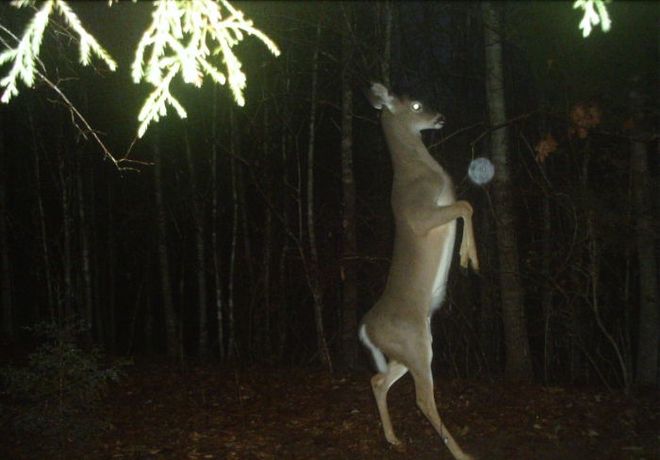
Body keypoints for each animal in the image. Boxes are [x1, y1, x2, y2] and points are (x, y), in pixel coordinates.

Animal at [360, 83, 480, 460]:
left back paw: (392, 438)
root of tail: (366, 329)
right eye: (415, 105)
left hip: (407, 349)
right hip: (414, 343)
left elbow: (466, 204)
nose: (440, 116)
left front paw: (467, 257)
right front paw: (469, 259)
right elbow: (466, 204)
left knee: (378, 380)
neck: (421, 171)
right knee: (422, 399)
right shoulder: (421, 214)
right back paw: (462, 453)